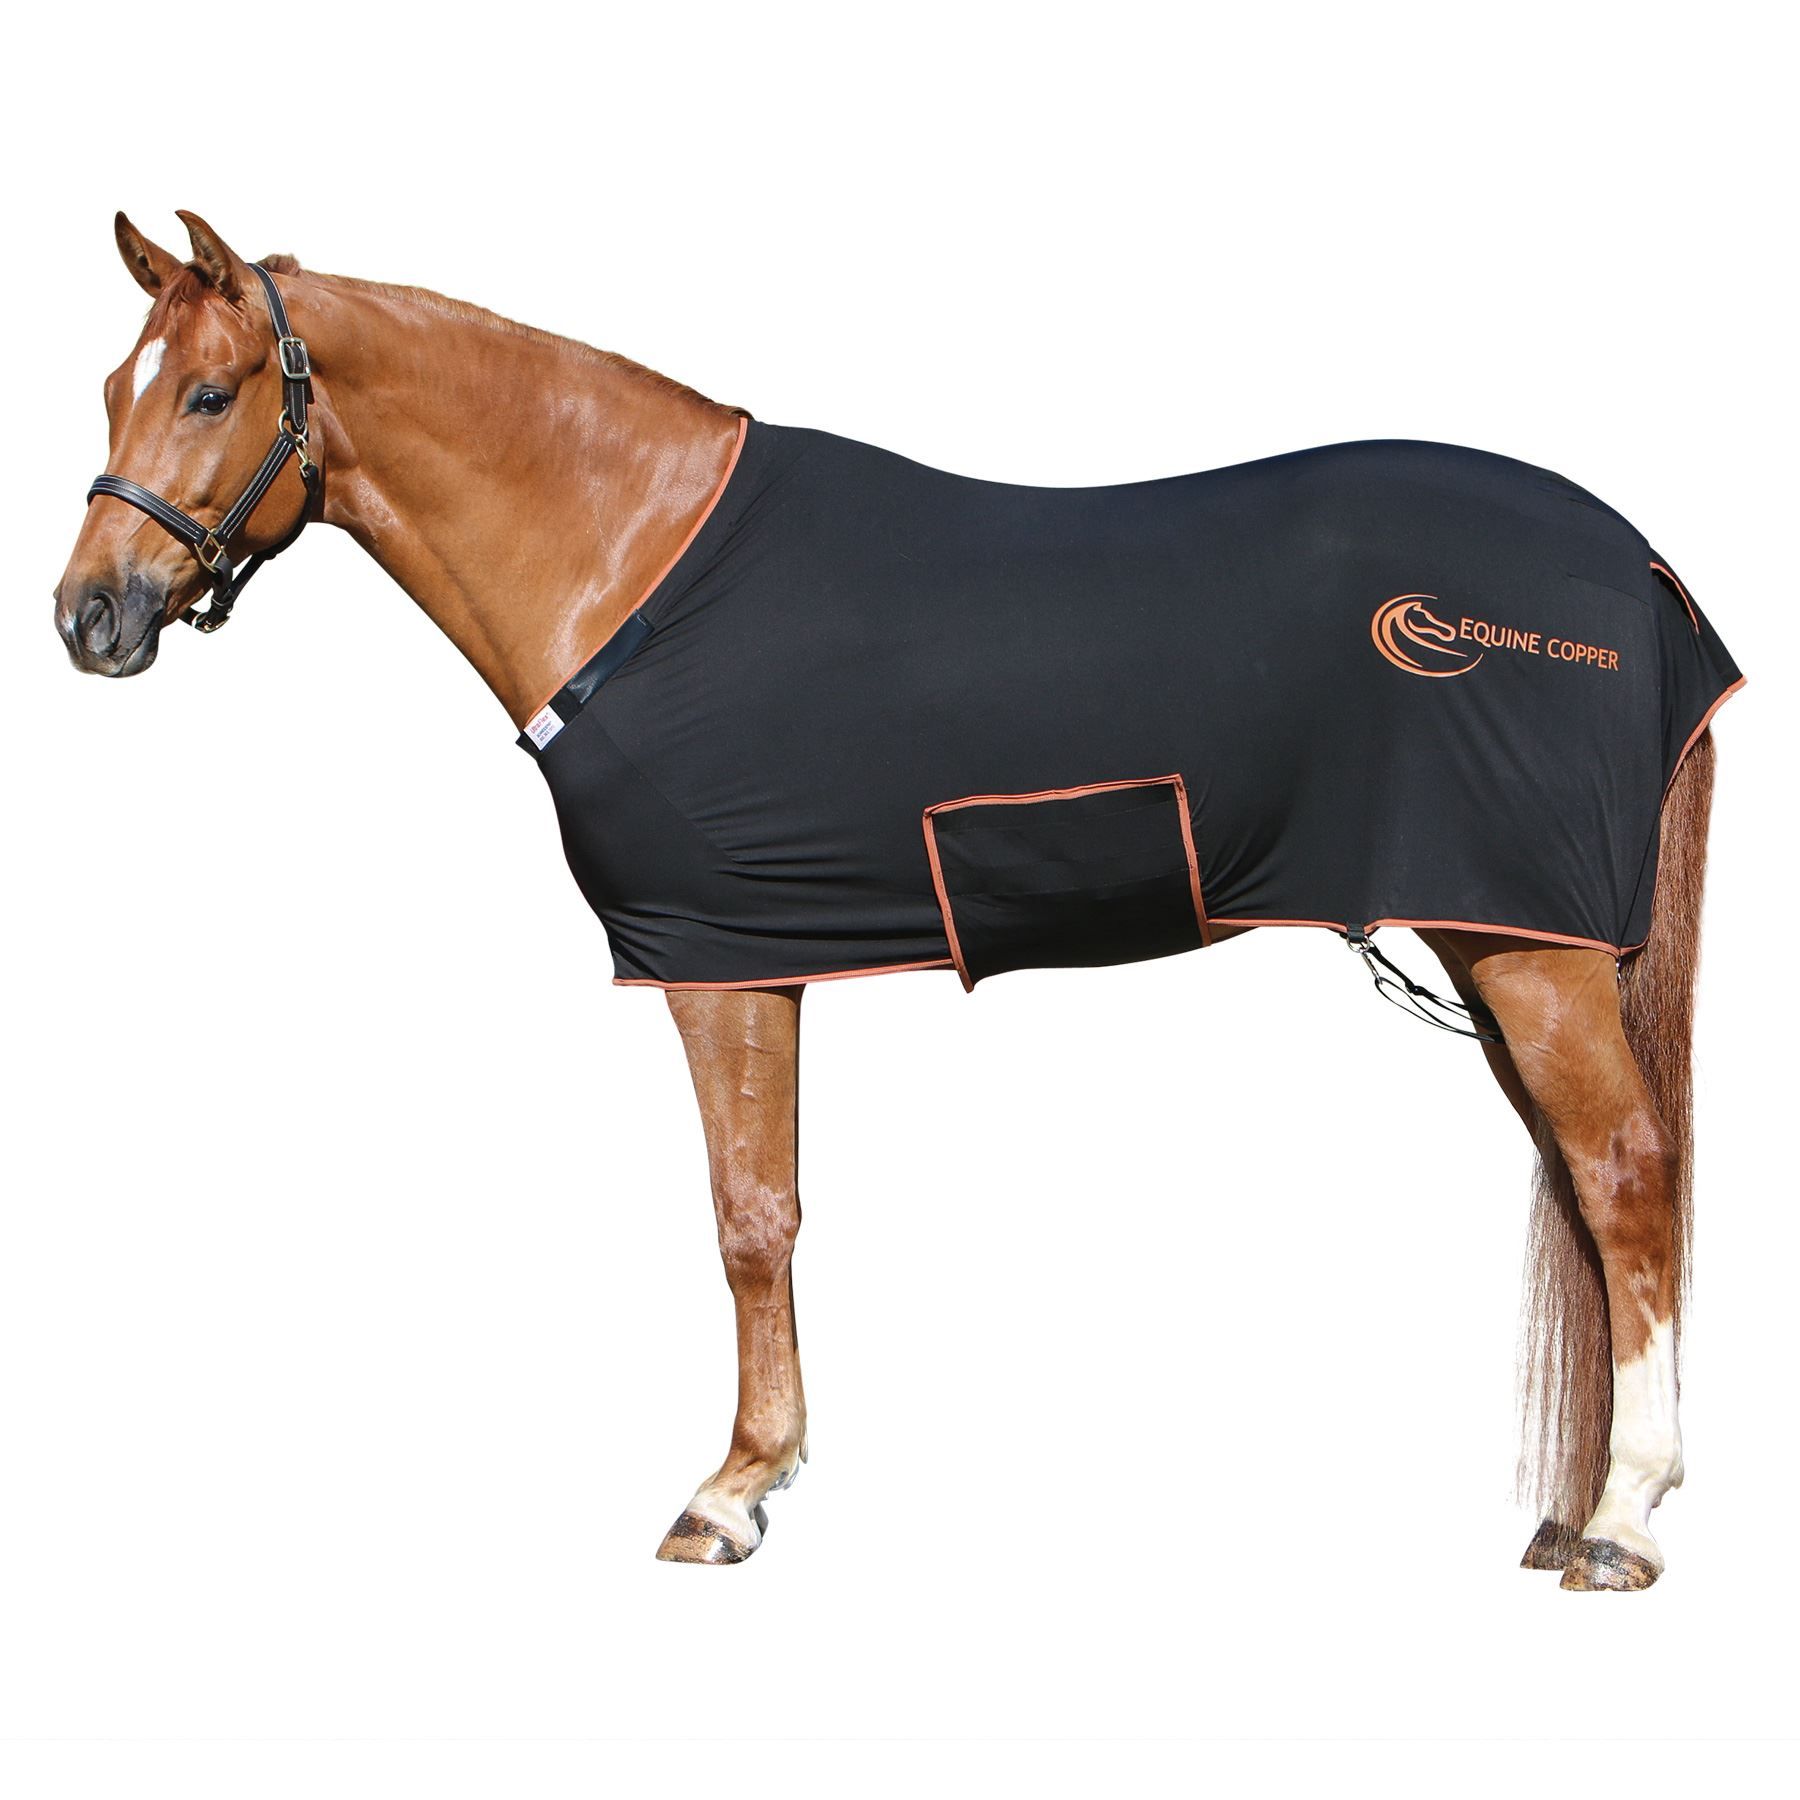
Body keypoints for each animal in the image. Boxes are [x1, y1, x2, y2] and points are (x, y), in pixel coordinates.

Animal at [54, 211, 1741, 1588]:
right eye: (113, 389)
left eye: (210, 394)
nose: (88, 618)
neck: (630, 552)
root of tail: (1638, 566)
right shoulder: (748, 958)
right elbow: (767, 1210)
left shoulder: (716, 957)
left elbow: (750, 1217)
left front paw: (733, 1491)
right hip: (1504, 945)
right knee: (1584, 1190)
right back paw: (1570, 1511)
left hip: (1525, 947)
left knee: (1626, 1175)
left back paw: (1622, 1519)